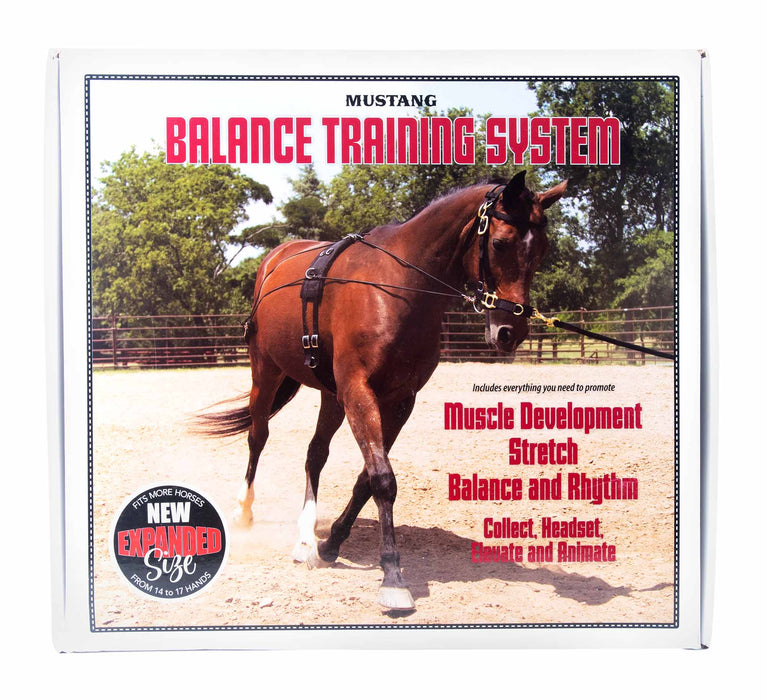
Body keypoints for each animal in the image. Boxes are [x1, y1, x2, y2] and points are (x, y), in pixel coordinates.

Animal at [202, 171, 567, 611]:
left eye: (543, 249)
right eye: (500, 243)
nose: (511, 331)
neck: (400, 287)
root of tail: (275, 260)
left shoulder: (398, 400)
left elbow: (366, 478)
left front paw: (331, 544)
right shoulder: (360, 391)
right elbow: (381, 478)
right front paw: (392, 576)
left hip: (330, 395)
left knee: (315, 455)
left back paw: (306, 540)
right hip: (266, 372)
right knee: (258, 437)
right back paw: (244, 513)